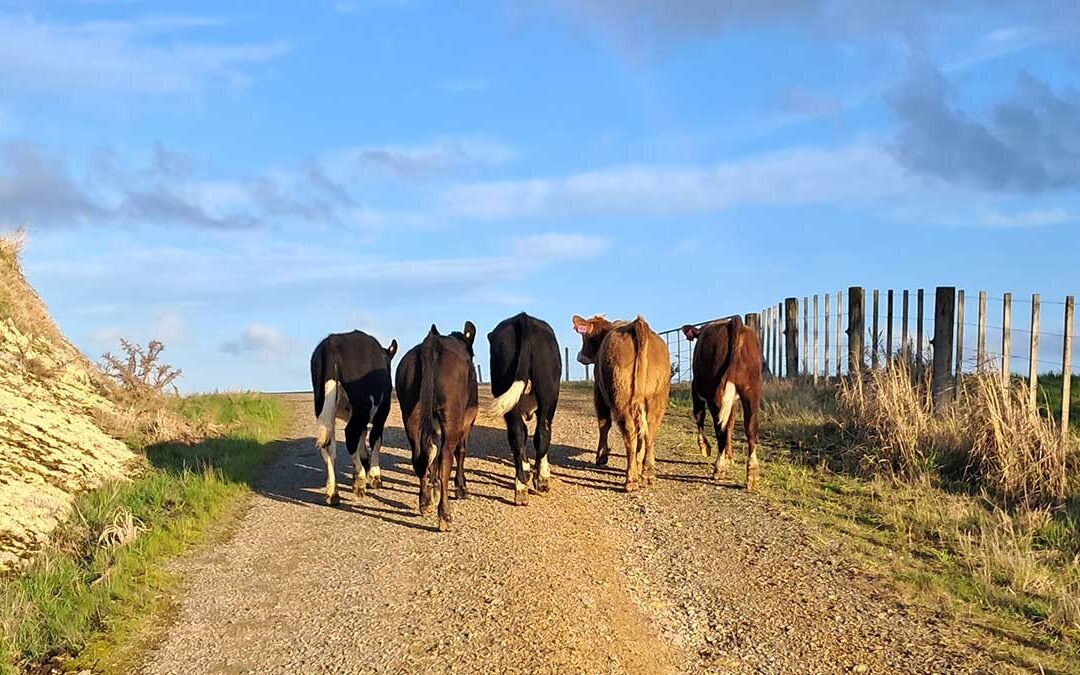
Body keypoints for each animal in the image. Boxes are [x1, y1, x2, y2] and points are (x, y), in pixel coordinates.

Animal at [395, 321, 479, 531]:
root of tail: (432, 341)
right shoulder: (468, 419)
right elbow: (460, 451)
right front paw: (461, 488)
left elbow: (431, 451)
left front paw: (432, 490)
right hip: (452, 415)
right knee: (445, 458)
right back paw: (444, 515)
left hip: (411, 412)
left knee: (420, 456)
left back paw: (424, 501)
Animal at [488, 313, 561, 503]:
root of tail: (523, 318)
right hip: (548, 396)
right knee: (542, 433)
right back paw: (538, 480)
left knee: (517, 434)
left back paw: (520, 486)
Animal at [570, 313, 669, 492]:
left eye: (585, 337)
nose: (580, 356)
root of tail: (638, 324)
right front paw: (638, 462)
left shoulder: (599, 393)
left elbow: (604, 424)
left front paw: (601, 456)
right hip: (657, 399)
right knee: (649, 431)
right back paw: (647, 472)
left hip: (621, 399)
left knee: (629, 432)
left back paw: (631, 479)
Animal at [678, 315, 764, 490]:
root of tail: (734, 322)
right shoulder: (734, 401)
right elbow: (730, 424)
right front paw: (730, 458)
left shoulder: (695, 389)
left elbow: (699, 416)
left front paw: (704, 447)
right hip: (751, 390)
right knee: (750, 428)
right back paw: (751, 474)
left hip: (715, 395)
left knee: (720, 430)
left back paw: (719, 467)